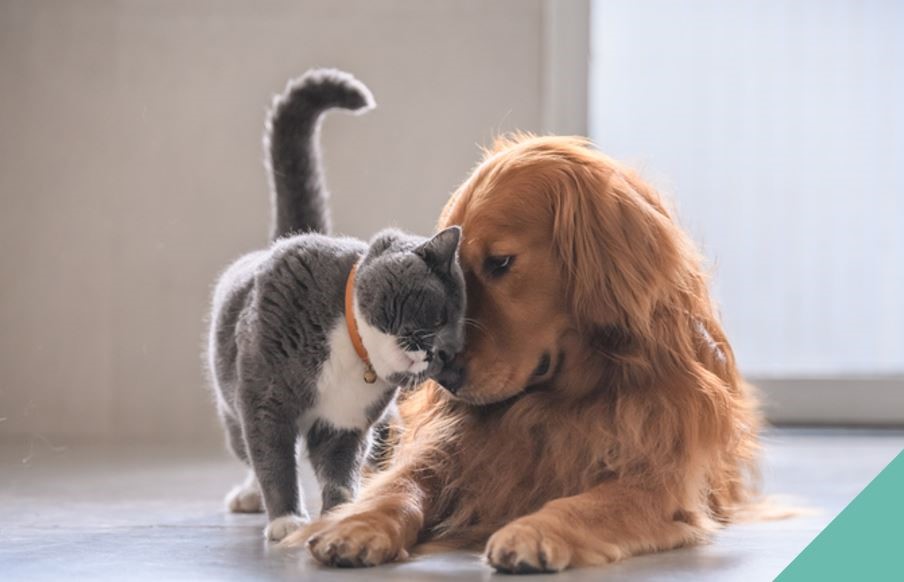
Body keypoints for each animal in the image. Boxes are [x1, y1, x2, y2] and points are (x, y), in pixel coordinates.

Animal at [207, 70, 462, 544]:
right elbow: (273, 457)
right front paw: (286, 518)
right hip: (231, 401)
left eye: (455, 349)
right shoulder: (264, 399)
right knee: (247, 449)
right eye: (438, 316)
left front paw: (341, 513)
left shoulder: (346, 423)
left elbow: (339, 469)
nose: (437, 353)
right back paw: (250, 496)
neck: (352, 349)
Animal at [286, 133, 760, 576]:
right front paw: (356, 524)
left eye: (500, 262)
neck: (560, 400)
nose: (444, 377)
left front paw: (534, 531)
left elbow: (589, 503)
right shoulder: (448, 447)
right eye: (453, 277)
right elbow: (400, 484)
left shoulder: (659, 479)